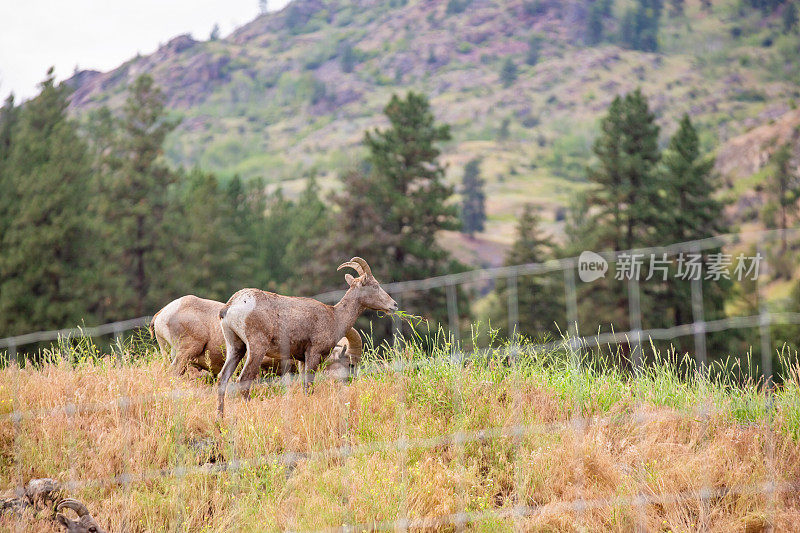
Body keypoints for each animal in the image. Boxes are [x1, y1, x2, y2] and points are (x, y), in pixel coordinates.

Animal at [217, 256, 396, 414]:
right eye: (375, 286)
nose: (393, 305)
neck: (335, 317)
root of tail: (231, 306)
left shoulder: (302, 359)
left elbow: (304, 387)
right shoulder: (313, 354)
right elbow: (310, 386)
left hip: (236, 348)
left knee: (222, 379)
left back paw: (220, 418)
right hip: (256, 348)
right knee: (244, 380)